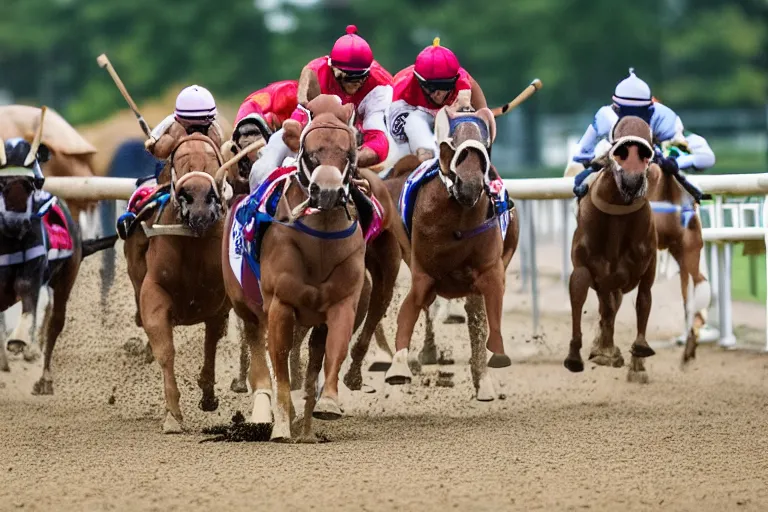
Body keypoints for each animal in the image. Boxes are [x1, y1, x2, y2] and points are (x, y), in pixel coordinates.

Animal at [0, 134, 117, 394]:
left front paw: (18, 341)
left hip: (66, 279)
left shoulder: (32, 269)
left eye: (32, 183)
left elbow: (27, 291)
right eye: (1, 183)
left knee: (55, 322)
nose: (16, 223)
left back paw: (44, 377)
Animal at [123, 132, 230, 432]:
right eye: (179, 159)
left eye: (212, 157)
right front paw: (172, 415)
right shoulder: (155, 291)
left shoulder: (217, 299)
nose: (199, 205)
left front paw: (207, 394)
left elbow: (211, 340)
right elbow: (165, 349)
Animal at [222, 95, 368, 440]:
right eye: (311, 151)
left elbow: (334, 351)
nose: (327, 191)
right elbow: (279, 366)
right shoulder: (280, 304)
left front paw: (327, 404)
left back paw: (306, 426)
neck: (319, 244)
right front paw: (280, 427)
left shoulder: (342, 303)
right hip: (246, 308)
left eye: (347, 151)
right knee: (259, 355)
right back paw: (267, 413)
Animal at [380, 94, 520, 402]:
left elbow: (486, 317)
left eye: (485, 141)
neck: (458, 217)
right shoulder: (424, 273)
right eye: (451, 141)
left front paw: (489, 366)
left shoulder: (490, 269)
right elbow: (410, 309)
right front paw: (399, 366)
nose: (470, 184)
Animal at [564, 116, 660, 380]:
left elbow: (642, 299)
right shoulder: (585, 267)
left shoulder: (640, 267)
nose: (633, 178)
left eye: (648, 150)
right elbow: (580, 296)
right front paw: (577, 355)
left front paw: (636, 352)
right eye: (618, 150)